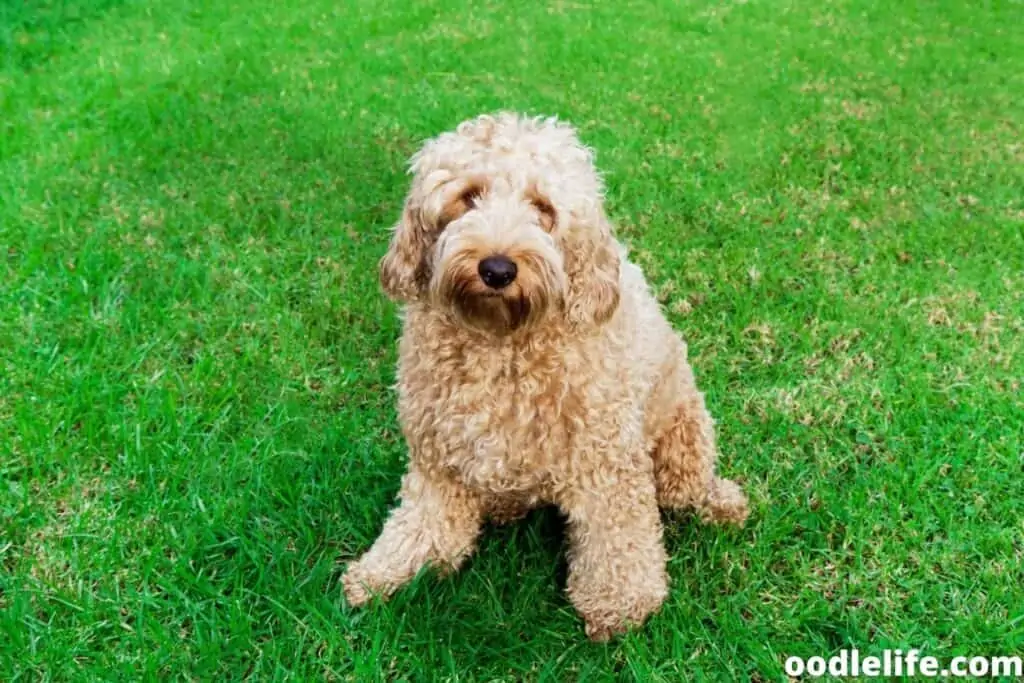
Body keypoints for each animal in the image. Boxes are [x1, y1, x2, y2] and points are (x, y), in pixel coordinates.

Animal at [339, 112, 749, 643]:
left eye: (543, 207)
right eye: (468, 195)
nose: (497, 268)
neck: (502, 341)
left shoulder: (606, 460)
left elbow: (617, 537)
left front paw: (620, 604)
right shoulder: (438, 457)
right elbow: (425, 524)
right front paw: (386, 572)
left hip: (684, 438)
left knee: (689, 489)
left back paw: (721, 502)